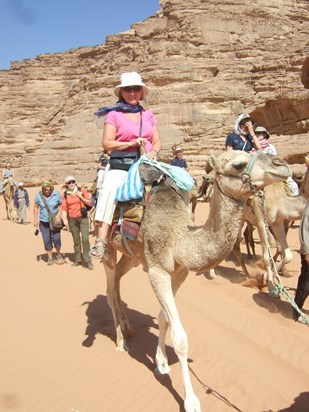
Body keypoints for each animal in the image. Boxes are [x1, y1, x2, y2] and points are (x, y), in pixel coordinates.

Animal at [101, 151, 292, 412]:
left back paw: (128, 327)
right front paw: (191, 400)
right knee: (110, 290)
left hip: (131, 255)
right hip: (108, 246)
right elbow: (180, 338)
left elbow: (163, 318)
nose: (282, 164)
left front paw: (161, 362)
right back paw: (121, 342)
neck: (180, 238)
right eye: (238, 164)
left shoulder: (179, 273)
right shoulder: (157, 271)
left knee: (119, 281)